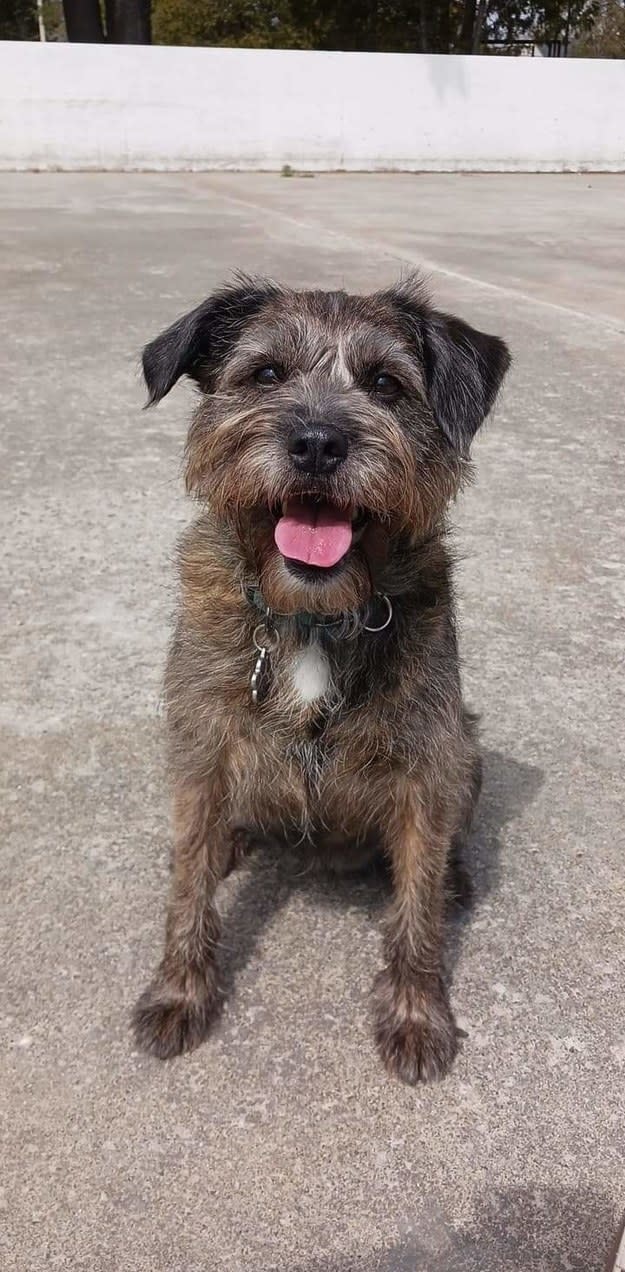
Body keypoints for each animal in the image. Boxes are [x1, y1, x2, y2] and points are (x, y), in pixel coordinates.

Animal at [132, 270, 509, 1083]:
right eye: (266, 373)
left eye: (385, 383)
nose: (315, 442)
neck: (313, 617)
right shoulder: (200, 748)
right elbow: (187, 887)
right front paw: (179, 992)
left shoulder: (428, 760)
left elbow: (415, 910)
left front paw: (416, 1012)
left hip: (467, 748)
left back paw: (456, 876)